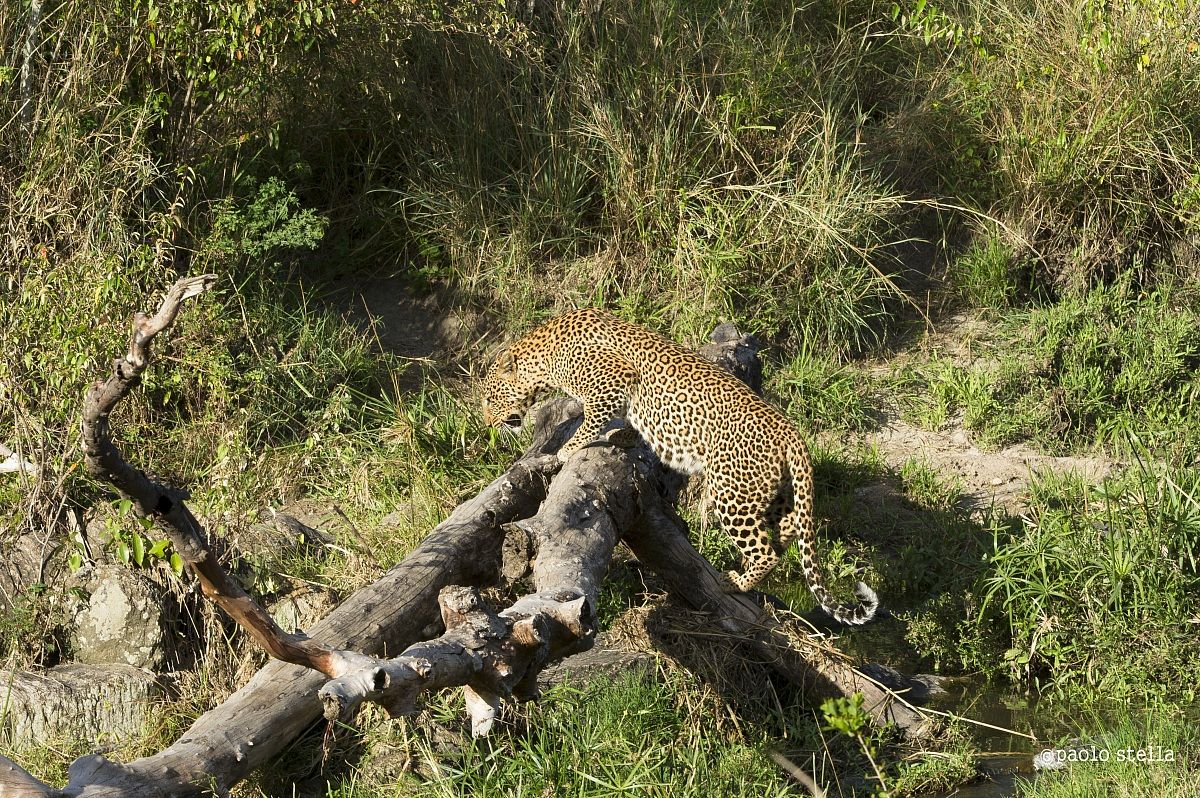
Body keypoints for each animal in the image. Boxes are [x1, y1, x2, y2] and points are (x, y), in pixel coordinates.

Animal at [480, 307, 878, 625]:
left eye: (488, 398)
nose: (487, 423)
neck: (544, 359)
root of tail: (791, 432)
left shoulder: (612, 382)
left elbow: (589, 424)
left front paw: (567, 450)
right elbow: (622, 422)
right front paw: (625, 436)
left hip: (731, 492)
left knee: (764, 550)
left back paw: (736, 581)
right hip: (767, 491)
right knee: (790, 528)